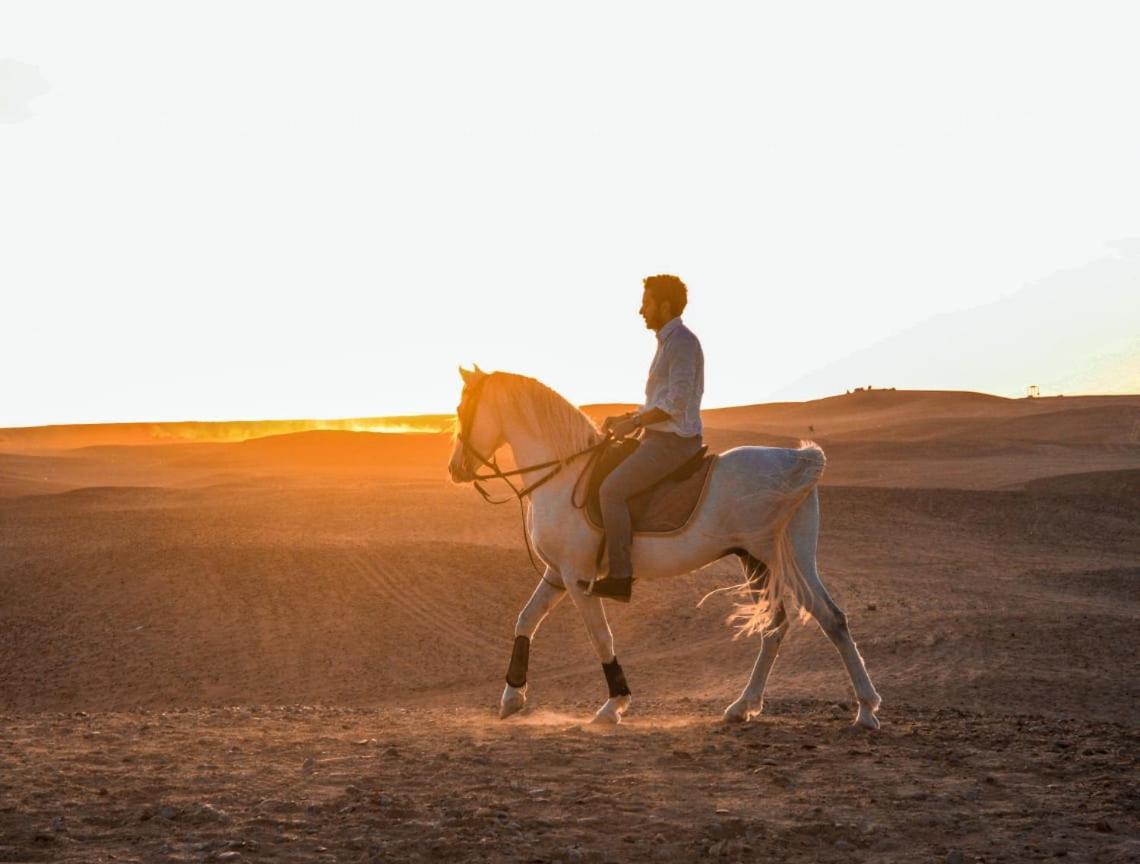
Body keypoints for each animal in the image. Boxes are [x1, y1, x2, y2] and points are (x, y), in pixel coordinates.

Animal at [446, 367, 880, 729]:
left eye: (462, 409)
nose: (454, 469)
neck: (565, 472)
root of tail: (799, 460)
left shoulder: (577, 576)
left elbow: (601, 637)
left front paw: (614, 705)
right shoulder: (557, 573)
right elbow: (526, 620)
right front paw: (512, 697)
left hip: (776, 559)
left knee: (821, 619)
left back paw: (864, 710)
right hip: (766, 559)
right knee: (788, 626)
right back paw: (748, 706)